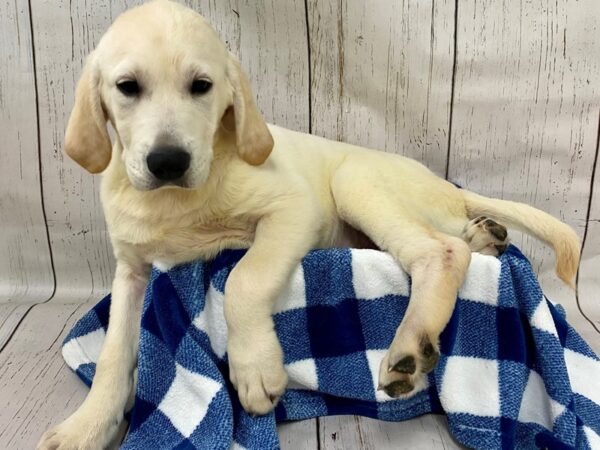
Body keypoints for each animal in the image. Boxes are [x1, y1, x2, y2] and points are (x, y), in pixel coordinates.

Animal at [38, 1, 580, 448]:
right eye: (127, 87)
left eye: (202, 87)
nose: (168, 162)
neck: (177, 202)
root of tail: (444, 184)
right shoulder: (132, 271)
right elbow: (113, 354)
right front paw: (85, 427)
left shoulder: (292, 210)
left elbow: (244, 278)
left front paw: (255, 368)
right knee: (450, 238)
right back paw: (485, 237)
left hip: (353, 179)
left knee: (440, 252)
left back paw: (411, 343)